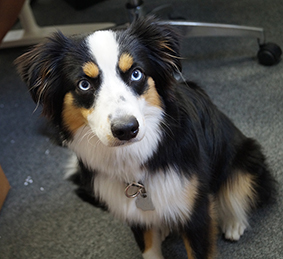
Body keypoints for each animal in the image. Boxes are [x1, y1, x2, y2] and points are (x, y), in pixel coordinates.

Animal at [15, 16, 276, 259]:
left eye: (136, 73)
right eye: (84, 84)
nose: (126, 129)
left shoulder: (196, 209)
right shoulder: (133, 212)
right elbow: (149, 247)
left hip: (248, 155)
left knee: (238, 187)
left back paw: (234, 222)